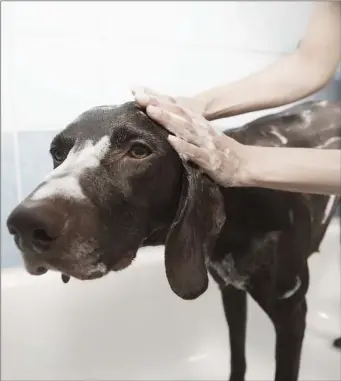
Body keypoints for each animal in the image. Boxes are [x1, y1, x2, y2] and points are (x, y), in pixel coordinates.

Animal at [6, 98, 338, 380]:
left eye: (139, 150)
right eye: (58, 153)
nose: (25, 225)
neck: (244, 208)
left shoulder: (291, 316)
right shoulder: (230, 291)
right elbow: (238, 358)